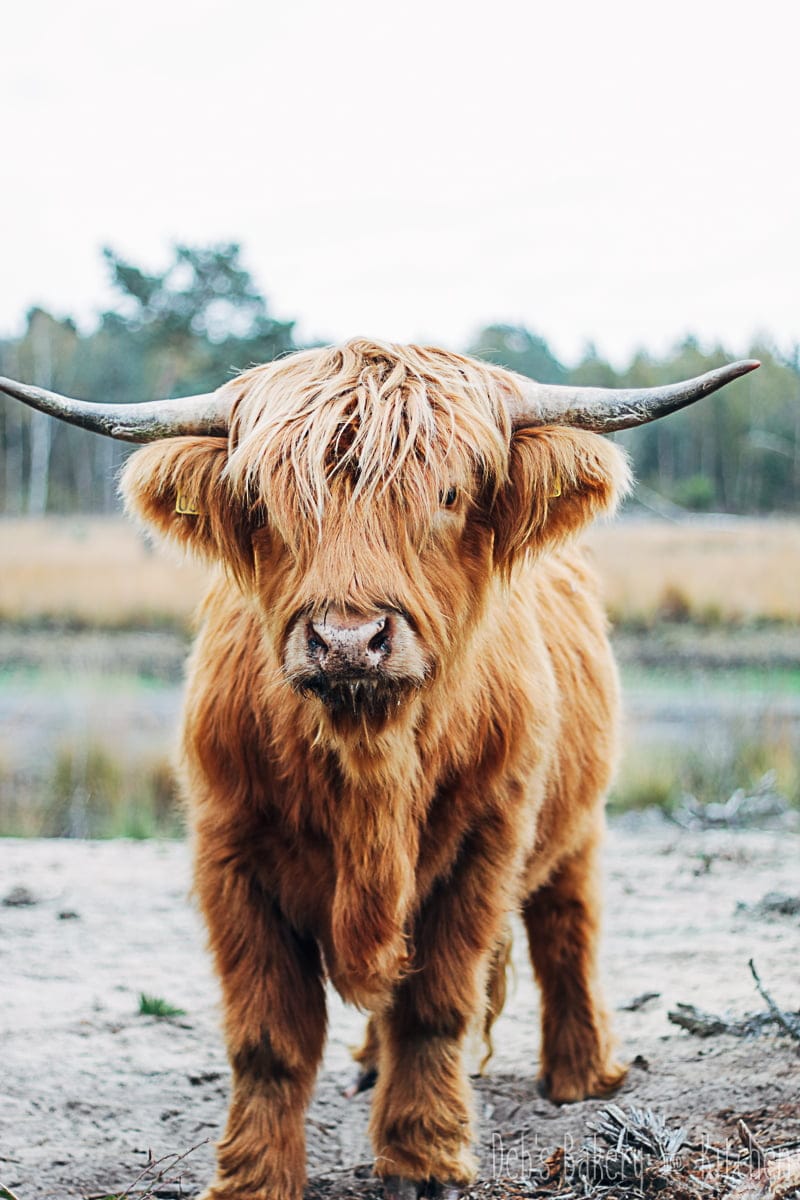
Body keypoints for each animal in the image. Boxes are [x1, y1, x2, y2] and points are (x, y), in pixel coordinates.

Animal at [1, 344, 758, 1200]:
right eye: (265, 502)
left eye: (450, 493)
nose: (347, 640)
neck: (369, 760)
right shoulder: (229, 852)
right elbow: (269, 1038)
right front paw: (255, 1177)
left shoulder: (483, 847)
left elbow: (433, 1008)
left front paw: (423, 1159)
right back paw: (370, 1064)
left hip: (578, 820)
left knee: (569, 926)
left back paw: (580, 1075)